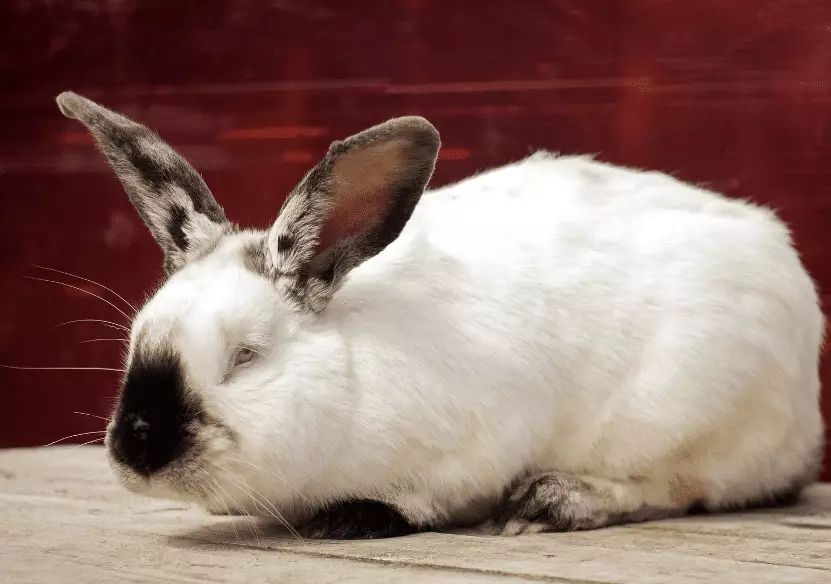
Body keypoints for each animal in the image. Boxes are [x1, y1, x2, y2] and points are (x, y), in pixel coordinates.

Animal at [55, 90, 825, 540]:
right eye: (136, 341)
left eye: (246, 355)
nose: (137, 447)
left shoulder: (472, 450)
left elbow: (433, 499)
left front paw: (355, 517)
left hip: (686, 421)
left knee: (682, 488)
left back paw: (554, 502)